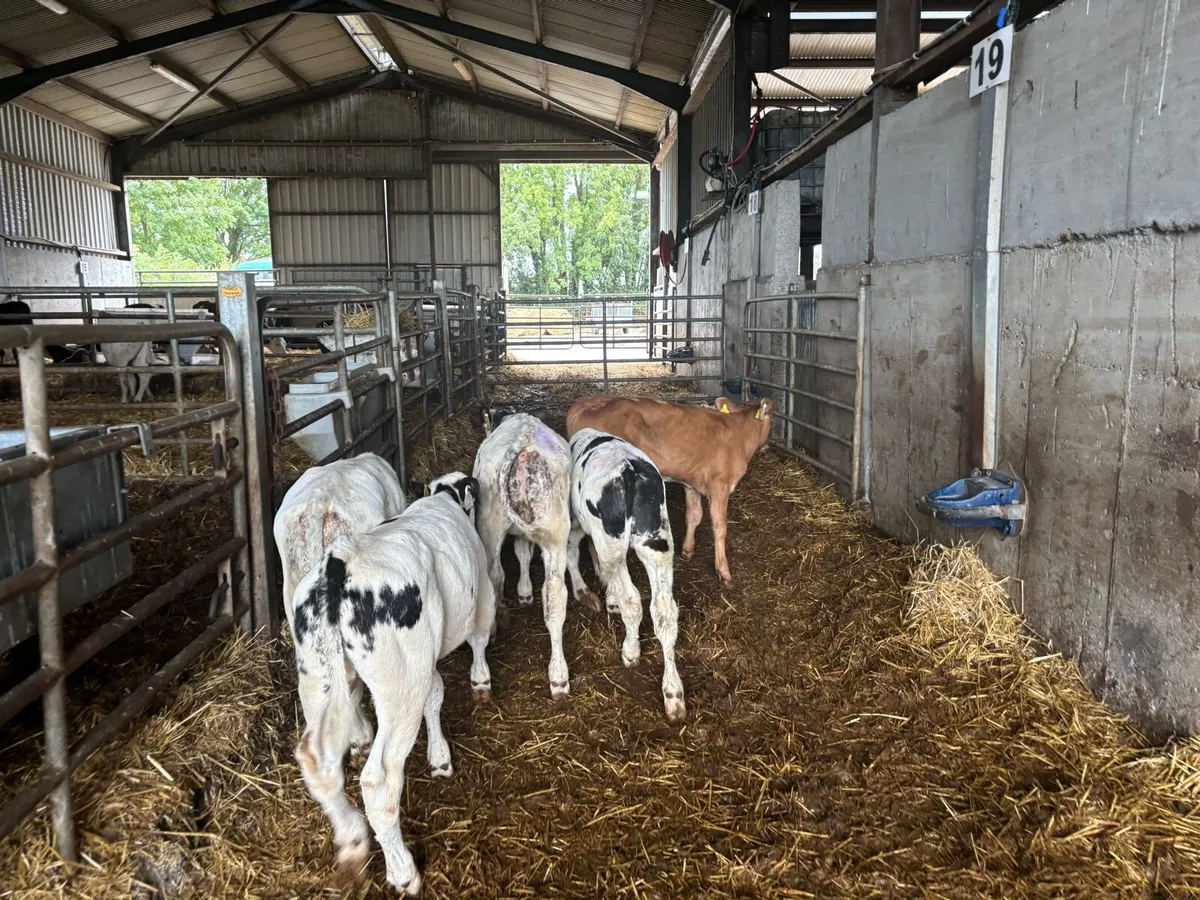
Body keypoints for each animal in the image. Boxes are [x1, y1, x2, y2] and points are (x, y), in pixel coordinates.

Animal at [290, 471, 493, 897]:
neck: (445, 499)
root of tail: (340, 561)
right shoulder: (482, 596)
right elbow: (478, 641)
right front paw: (480, 683)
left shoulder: (423, 661)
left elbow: (436, 694)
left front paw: (439, 755)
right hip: (399, 687)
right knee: (379, 780)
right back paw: (403, 872)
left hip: (320, 678)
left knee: (319, 760)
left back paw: (352, 838)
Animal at [472, 412, 595, 699]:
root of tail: (520, 451)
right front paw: (526, 591)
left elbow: (521, 554)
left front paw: (523, 591)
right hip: (553, 534)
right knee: (554, 594)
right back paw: (559, 675)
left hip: (489, 527)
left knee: (495, 576)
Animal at [566, 395, 774, 585]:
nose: (767, 447)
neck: (739, 431)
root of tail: (585, 405)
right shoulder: (720, 487)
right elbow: (720, 527)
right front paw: (723, 572)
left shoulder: (691, 484)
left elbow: (694, 516)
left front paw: (688, 549)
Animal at [568, 428, 685, 722]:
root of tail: (629, 471)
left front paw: (609, 599)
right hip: (657, 542)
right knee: (664, 610)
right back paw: (673, 693)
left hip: (613, 542)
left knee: (632, 600)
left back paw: (631, 651)